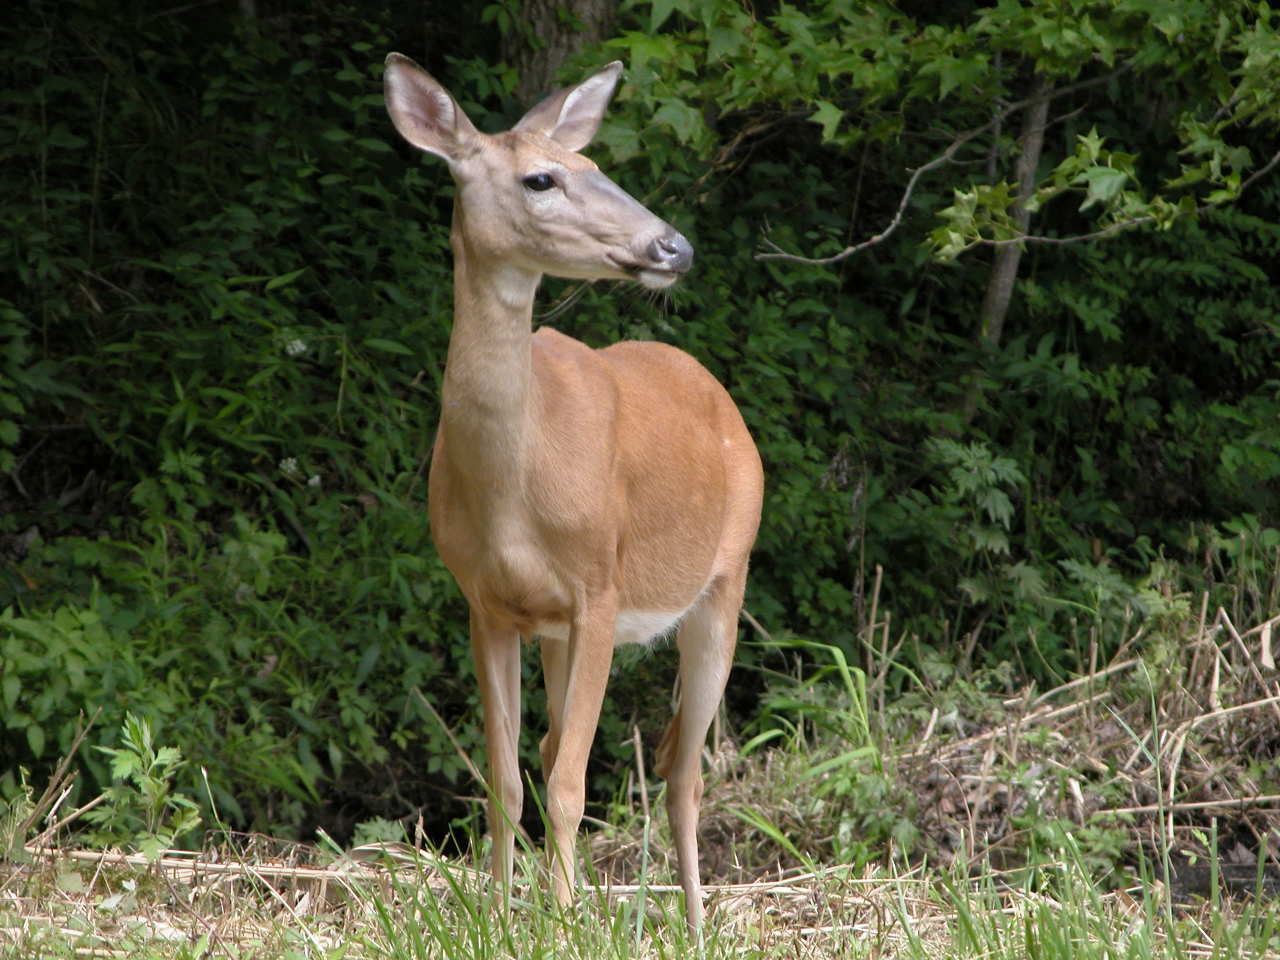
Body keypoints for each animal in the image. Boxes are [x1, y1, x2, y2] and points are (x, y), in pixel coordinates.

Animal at [382, 52, 764, 931]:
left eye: (598, 168)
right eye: (542, 178)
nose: (673, 246)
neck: (511, 490)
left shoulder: (600, 584)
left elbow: (567, 786)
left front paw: (558, 922)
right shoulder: (485, 601)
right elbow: (508, 781)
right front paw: (499, 918)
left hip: (724, 581)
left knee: (683, 769)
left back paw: (695, 924)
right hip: (558, 629)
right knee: (579, 748)